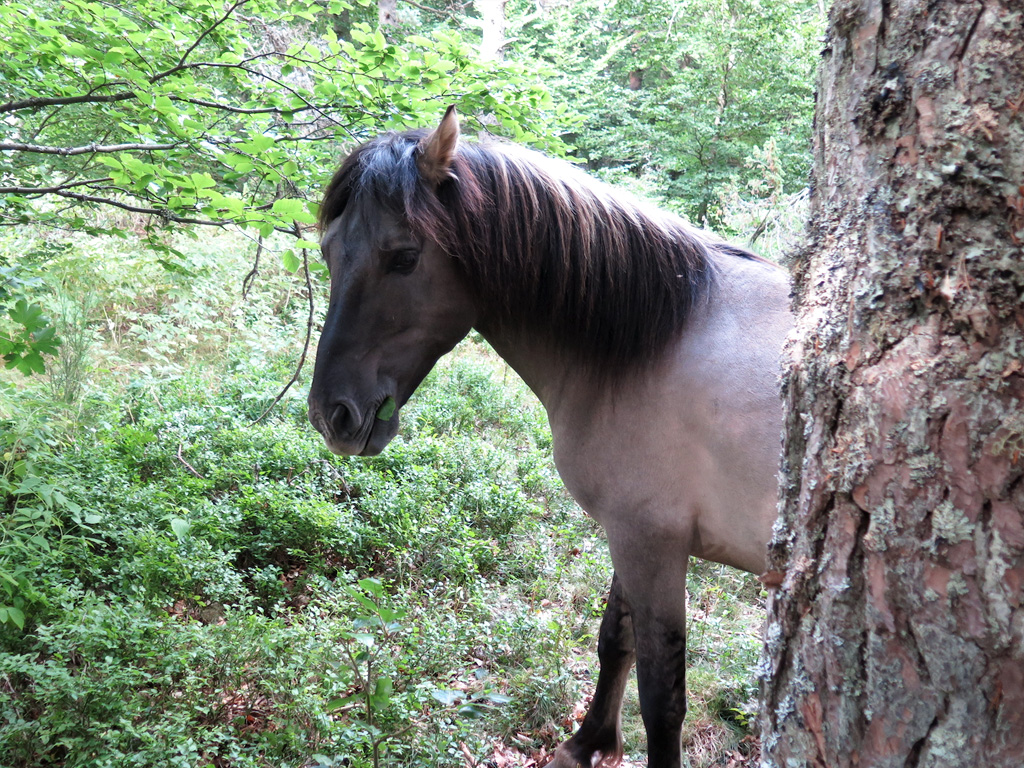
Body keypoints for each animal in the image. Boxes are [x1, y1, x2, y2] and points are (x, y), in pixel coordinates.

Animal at [307, 107, 792, 768]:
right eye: (328, 252)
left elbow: (662, 698)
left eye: (403, 257)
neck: (654, 341)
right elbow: (615, 639)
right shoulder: (631, 534)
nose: (332, 415)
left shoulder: (651, 542)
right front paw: (587, 744)